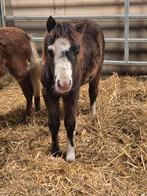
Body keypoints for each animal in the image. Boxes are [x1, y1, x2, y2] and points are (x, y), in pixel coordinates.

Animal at [42, 16, 105, 161]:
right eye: (50, 51)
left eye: (77, 51)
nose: (64, 84)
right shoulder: (48, 94)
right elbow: (53, 123)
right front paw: (55, 151)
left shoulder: (71, 94)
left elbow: (70, 123)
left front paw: (70, 155)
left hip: (97, 73)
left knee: (93, 94)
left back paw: (93, 117)